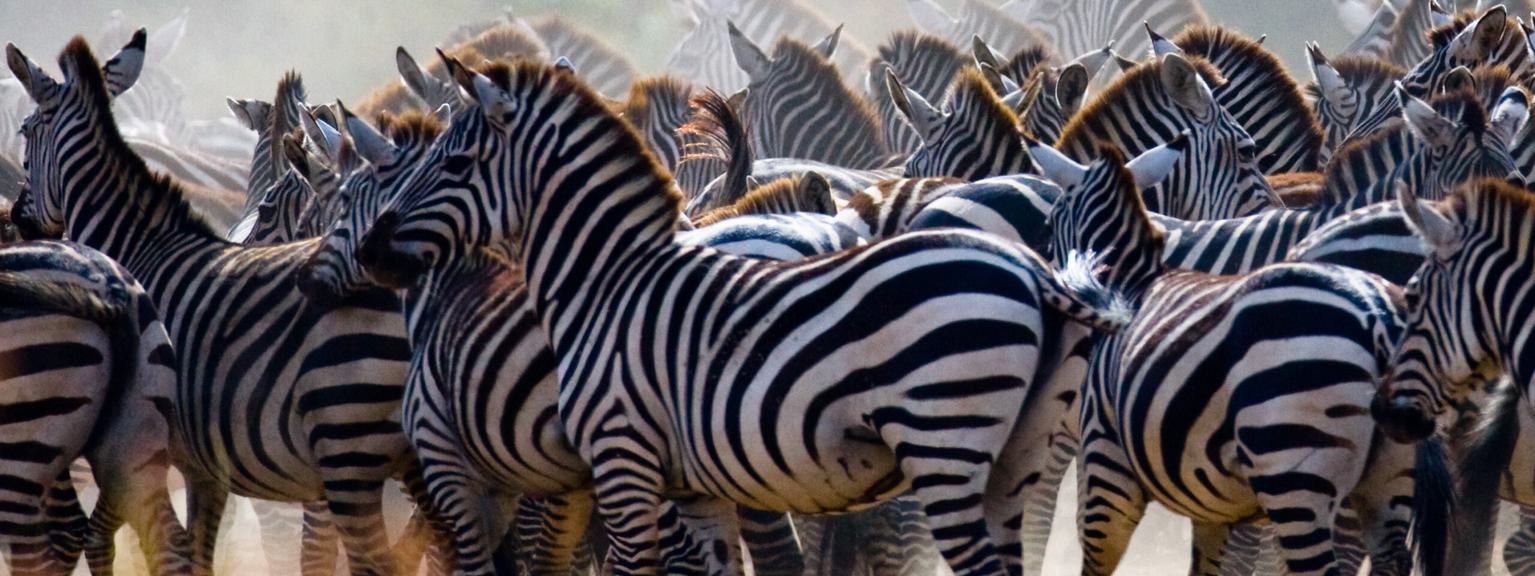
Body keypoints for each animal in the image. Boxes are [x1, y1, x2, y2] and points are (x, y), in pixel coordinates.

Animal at [354, 57, 1133, 576]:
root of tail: (1034, 272)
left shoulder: (622, 458)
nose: (369, 251)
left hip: (945, 441)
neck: (605, 278)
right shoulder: (691, 484)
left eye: (455, 162)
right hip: (1017, 453)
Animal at [1045, 141, 1440, 576]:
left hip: (1294, 471)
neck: (1133, 282)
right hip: (1390, 476)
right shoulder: (1209, 503)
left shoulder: (1106, 456)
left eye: (1049, 225)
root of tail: (1376, 318)